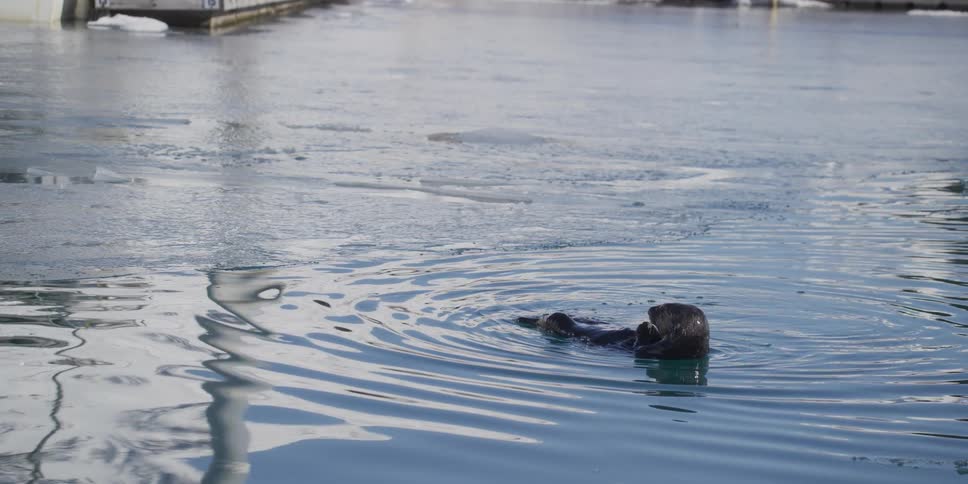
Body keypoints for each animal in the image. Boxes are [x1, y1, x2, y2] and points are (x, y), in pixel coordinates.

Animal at [517, 303, 709, 360]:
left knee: (554, 320)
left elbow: (639, 347)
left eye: (663, 309)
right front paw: (647, 327)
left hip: (560, 321)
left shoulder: (653, 351)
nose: (650, 308)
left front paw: (644, 327)